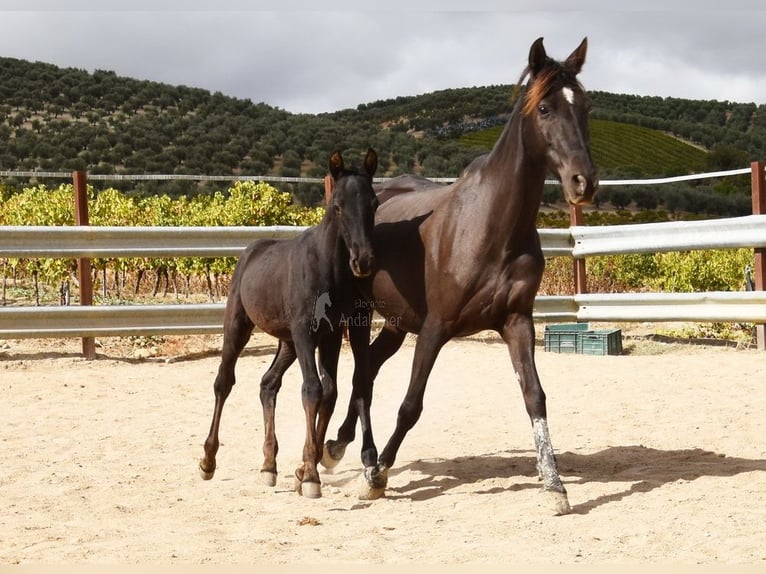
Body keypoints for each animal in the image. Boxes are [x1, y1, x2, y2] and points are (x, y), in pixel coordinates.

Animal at [199, 148, 379, 499]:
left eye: (374, 203)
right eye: (337, 206)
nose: (363, 261)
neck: (327, 268)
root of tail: (251, 251)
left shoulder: (331, 334)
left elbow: (330, 392)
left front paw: (306, 466)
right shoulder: (306, 333)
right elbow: (312, 389)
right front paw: (309, 476)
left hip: (287, 342)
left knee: (268, 384)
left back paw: (269, 465)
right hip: (239, 327)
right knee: (223, 382)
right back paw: (208, 461)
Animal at [322, 37, 598, 515]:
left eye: (583, 107)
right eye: (544, 108)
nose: (584, 182)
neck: (492, 226)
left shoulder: (517, 322)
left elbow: (535, 396)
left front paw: (555, 485)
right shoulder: (436, 326)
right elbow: (410, 405)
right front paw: (375, 478)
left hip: (396, 323)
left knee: (367, 371)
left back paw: (338, 446)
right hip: (364, 315)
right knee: (360, 374)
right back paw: (353, 457)